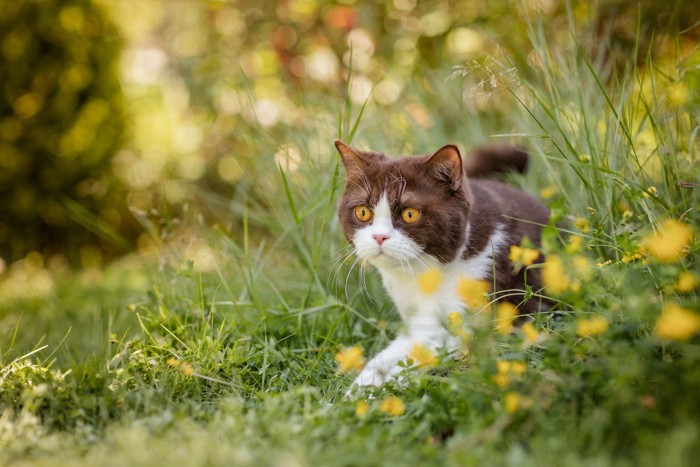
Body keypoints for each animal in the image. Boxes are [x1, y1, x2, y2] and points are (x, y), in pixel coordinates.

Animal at [336, 141, 548, 390]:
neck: (421, 274)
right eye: (362, 212)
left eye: (409, 214)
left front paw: (362, 388)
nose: (379, 236)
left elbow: (418, 345)